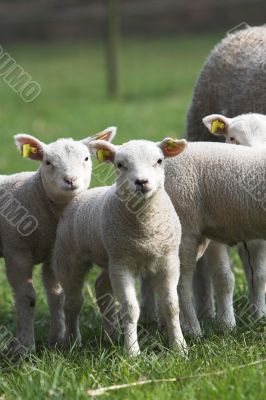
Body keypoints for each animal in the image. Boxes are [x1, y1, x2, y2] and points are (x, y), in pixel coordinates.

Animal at [0, 127, 116, 354]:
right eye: (47, 162)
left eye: (86, 158)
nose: (70, 179)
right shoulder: (16, 253)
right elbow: (27, 298)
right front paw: (25, 347)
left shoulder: (53, 253)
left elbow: (56, 296)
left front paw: (56, 339)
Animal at [52, 137, 187, 356]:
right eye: (120, 165)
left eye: (159, 161)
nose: (141, 182)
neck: (145, 232)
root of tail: (79, 196)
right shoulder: (123, 266)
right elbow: (130, 309)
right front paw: (132, 352)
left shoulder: (168, 260)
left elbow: (171, 306)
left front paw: (179, 347)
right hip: (69, 258)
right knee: (72, 302)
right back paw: (73, 342)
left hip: (111, 258)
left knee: (101, 288)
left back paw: (112, 335)